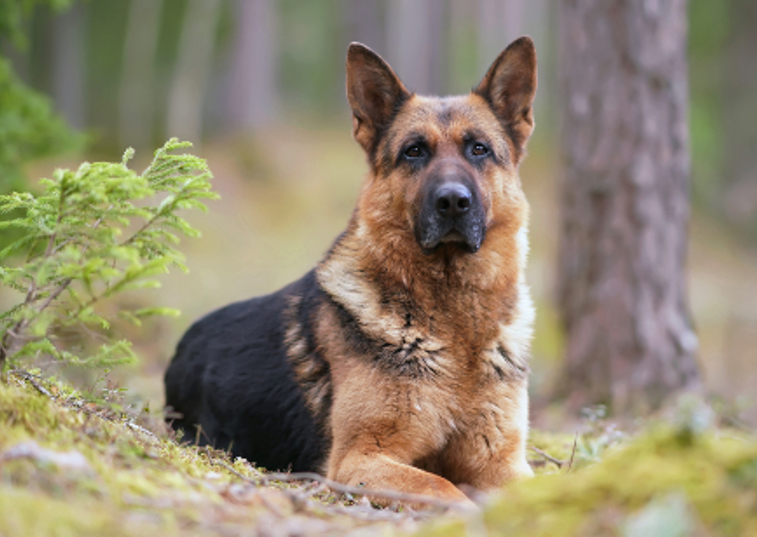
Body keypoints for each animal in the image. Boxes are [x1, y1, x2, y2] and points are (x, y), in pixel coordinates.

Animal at [164, 35, 536, 504]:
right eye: (415, 151)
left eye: (479, 149)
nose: (453, 201)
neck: (454, 321)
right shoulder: (359, 460)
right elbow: (444, 487)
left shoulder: (502, 464)